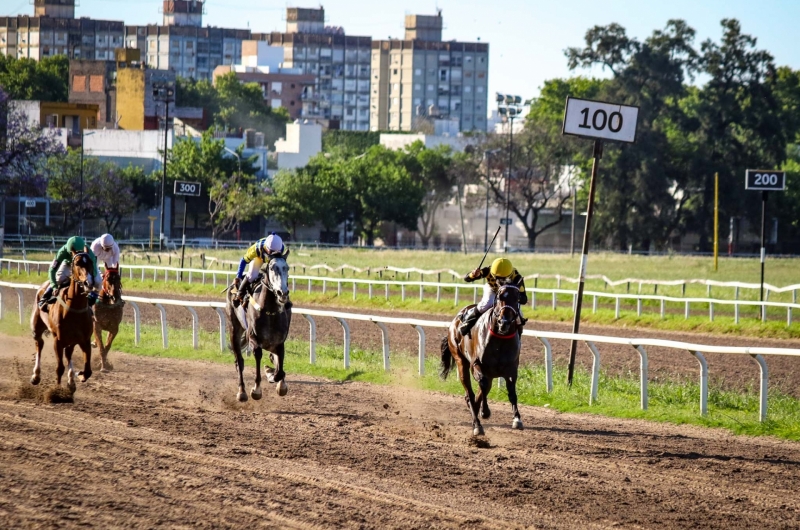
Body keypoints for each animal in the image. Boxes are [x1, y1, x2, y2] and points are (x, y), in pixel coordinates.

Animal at [30, 252, 96, 392]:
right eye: (77, 263)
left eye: (91, 262)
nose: (88, 282)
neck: (75, 309)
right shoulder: (58, 340)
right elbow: (59, 368)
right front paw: (57, 391)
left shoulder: (84, 340)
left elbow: (88, 370)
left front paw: (79, 375)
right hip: (36, 328)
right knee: (39, 344)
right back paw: (36, 376)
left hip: (71, 340)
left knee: (68, 353)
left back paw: (71, 381)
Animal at [227, 255, 292, 400]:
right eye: (272, 268)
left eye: (287, 268)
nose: (282, 293)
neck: (270, 311)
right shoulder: (253, 338)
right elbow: (258, 355)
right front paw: (256, 389)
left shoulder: (279, 341)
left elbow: (279, 367)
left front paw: (277, 379)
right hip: (234, 329)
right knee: (239, 361)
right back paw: (242, 391)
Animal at [440, 284, 520, 434]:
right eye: (499, 297)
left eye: (517, 298)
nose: (504, 322)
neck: (500, 339)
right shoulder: (477, 365)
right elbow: (481, 385)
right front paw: (485, 412)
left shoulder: (511, 368)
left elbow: (511, 391)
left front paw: (517, 419)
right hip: (460, 360)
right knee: (470, 394)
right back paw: (477, 424)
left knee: (475, 395)